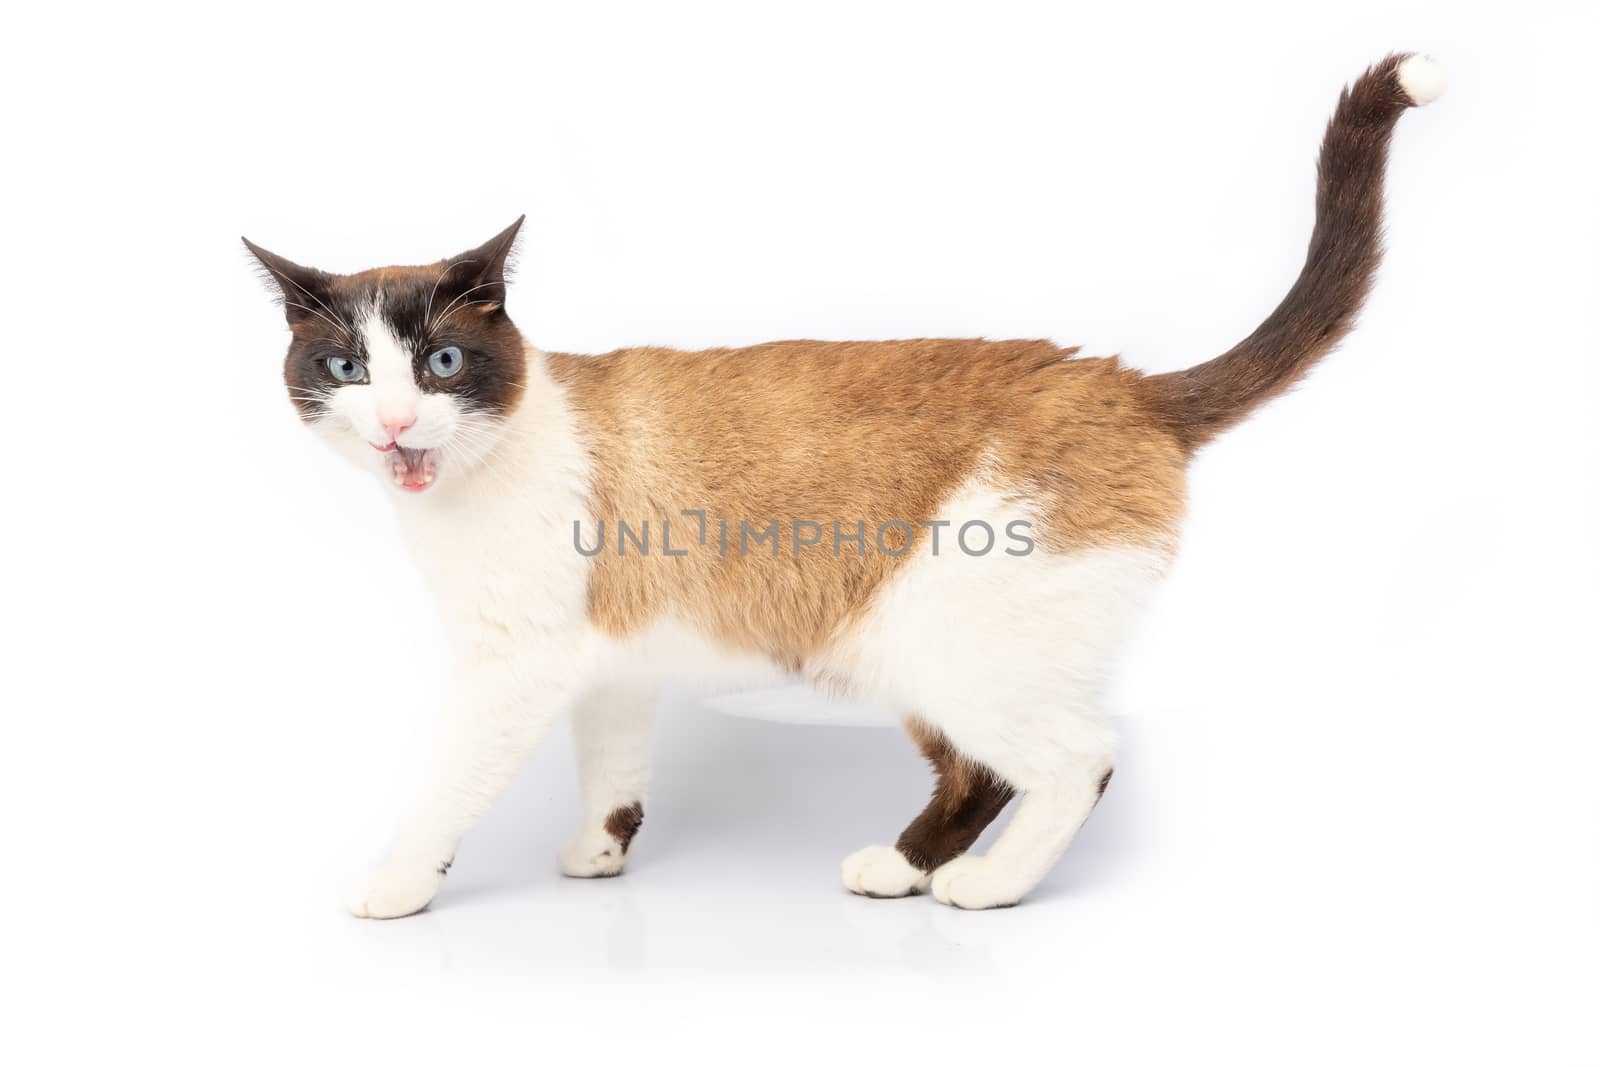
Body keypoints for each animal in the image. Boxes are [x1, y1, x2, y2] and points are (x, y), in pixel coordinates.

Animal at [246, 51, 1440, 921]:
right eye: (348, 370)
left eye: (442, 363)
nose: (396, 419)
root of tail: (1125, 383)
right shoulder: (609, 665)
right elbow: (613, 773)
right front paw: (597, 857)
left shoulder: (512, 668)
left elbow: (446, 790)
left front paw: (398, 884)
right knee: (981, 773)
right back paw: (903, 869)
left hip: (939, 641)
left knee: (1078, 758)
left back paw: (981, 888)